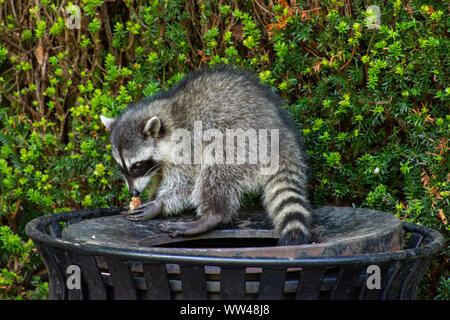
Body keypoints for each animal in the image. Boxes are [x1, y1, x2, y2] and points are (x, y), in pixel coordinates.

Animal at [101, 65, 312, 245]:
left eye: (137, 165)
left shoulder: (186, 146)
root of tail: (283, 138)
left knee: (216, 171)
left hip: (244, 143)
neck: (169, 115)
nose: (133, 193)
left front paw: (159, 204)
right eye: (122, 166)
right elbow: (159, 179)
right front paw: (152, 196)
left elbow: (185, 184)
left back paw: (211, 216)